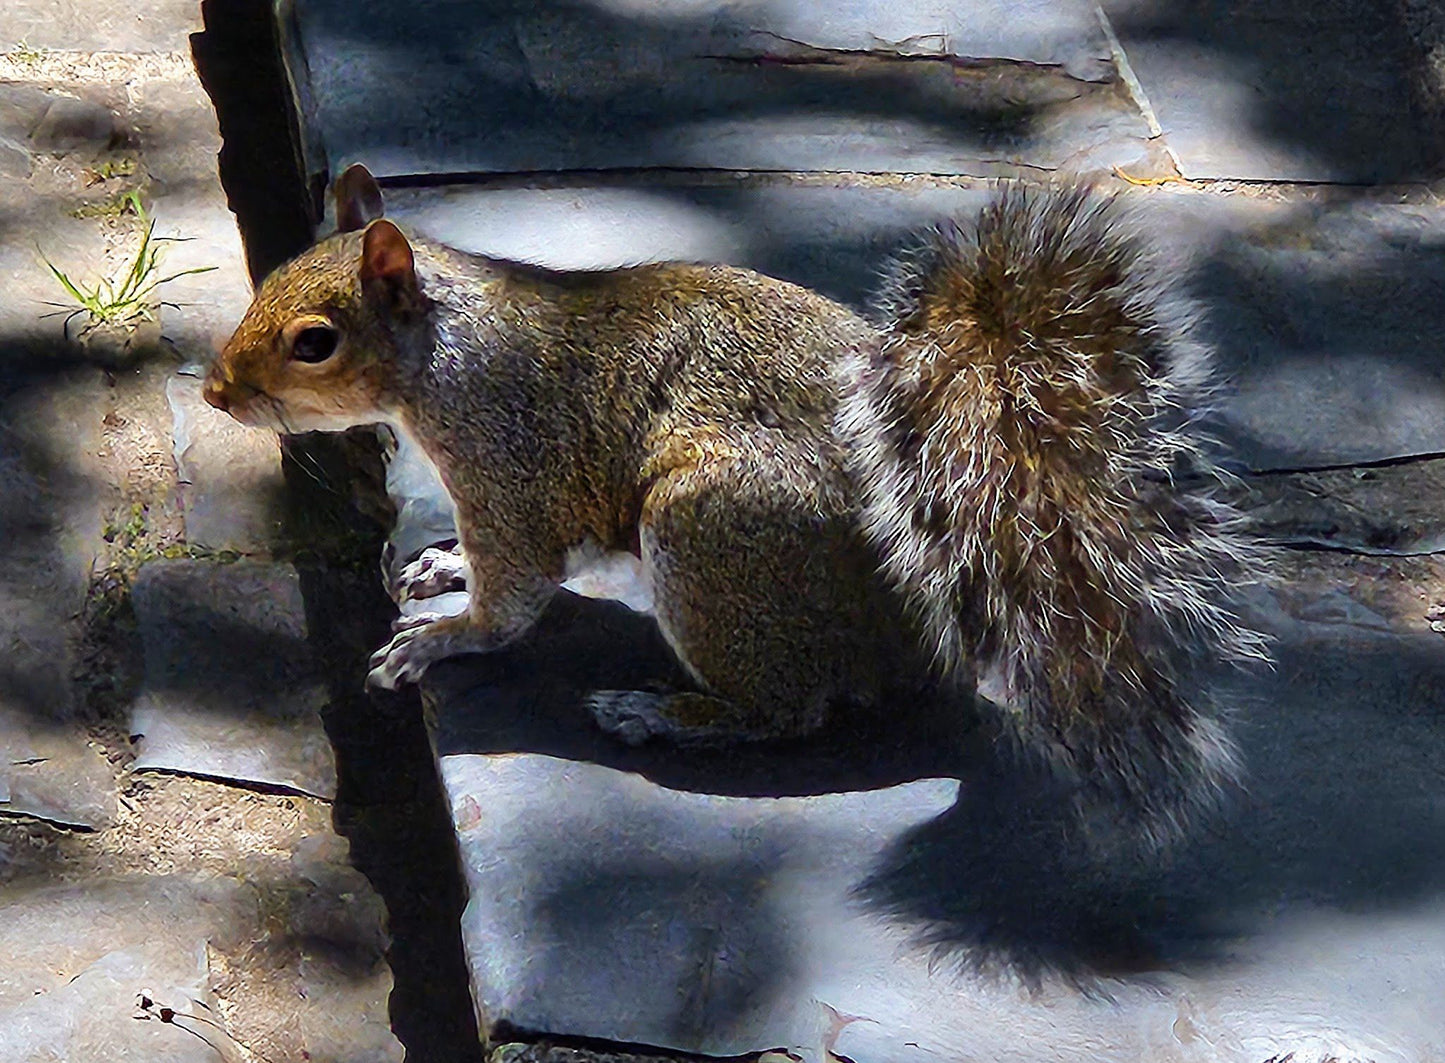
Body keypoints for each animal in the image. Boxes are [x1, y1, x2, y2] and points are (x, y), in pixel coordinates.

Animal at [200, 163, 1265, 849]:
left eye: (314, 341)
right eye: (271, 274)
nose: (216, 393)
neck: (444, 352)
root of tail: (930, 630)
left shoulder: (511, 465)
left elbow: (513, 596)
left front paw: (438, 638)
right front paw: (440, 565)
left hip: (708, 531)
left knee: (790, 710)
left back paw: (660, 711)